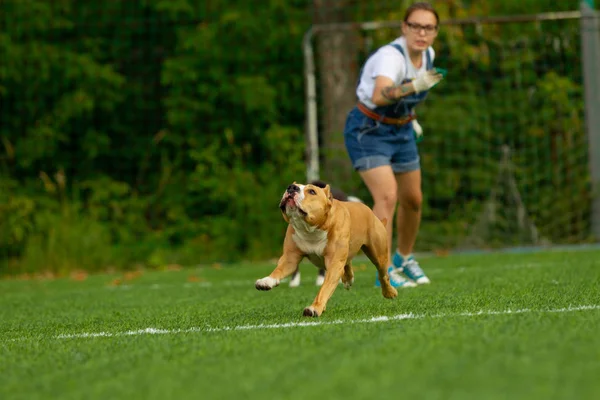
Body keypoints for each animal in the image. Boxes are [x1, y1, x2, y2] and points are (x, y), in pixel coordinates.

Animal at [254, 181, 398, 316]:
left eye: (312, 191)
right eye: (292, 185)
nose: (291, 188)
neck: (311, 229)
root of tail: (370, 212)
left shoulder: (334, 264)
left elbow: (325, 288)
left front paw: (315, 308)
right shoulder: (290, 258)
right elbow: (279, 270)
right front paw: (267, 281)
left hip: (378, 254)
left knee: (383, 274)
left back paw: (389, 292)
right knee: (348, 262)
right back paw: (348, 279)